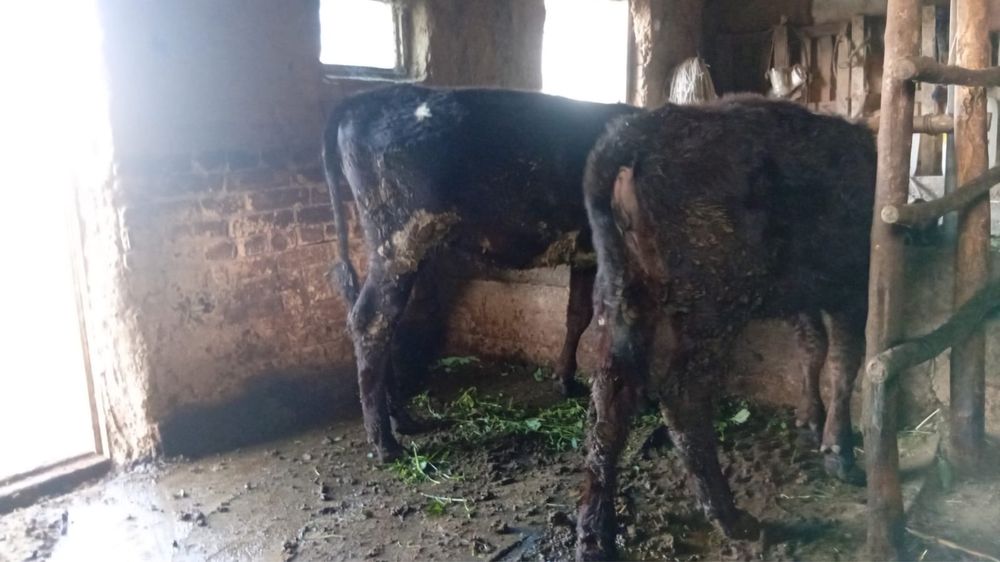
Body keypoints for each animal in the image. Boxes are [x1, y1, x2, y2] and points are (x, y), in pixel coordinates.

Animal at [323, 84, 640, 461]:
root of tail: (361, 99)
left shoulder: (586, 254)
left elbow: (577, 315)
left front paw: (565, 379)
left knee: (384, 324)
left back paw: (404, 420)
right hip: (399, 241)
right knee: (370, 321)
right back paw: (385, 442)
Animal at [575, 95, 875, 561]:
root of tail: (628, 141)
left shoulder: (800, 295)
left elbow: (812, 348)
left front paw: (809, 419)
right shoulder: (850, 285)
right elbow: (844, 363)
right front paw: (839, 451)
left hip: (620, 293)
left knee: (610, 397)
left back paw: (596, 531)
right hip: (712, 307)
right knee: (683, 397)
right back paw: (731, 518)